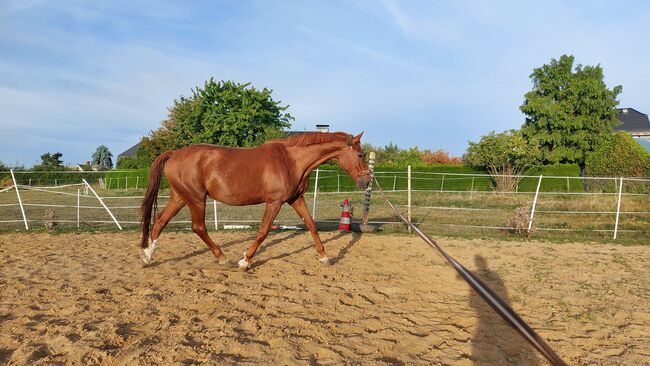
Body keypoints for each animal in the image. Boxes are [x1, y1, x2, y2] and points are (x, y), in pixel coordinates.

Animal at [139, 132, 368, 268]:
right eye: (360, 154)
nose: (366, 181)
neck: (291, 160)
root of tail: (173, 153)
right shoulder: (274, 202)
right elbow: (263, 231)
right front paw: (245, 260)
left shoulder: (296, 199)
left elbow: (311, 225)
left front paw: (324, 256)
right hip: (196, 199)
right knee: (198, 227)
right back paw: (223, 258)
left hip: (180, 198)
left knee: (160, 221)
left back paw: (147, 257)